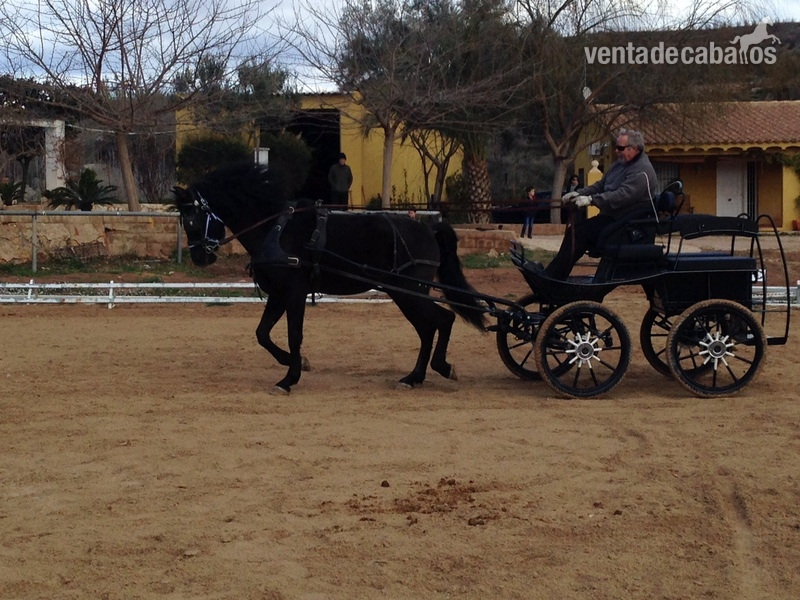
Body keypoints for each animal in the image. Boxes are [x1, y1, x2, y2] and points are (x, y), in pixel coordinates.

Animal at [173, 162, 487, 394]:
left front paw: (289, 378)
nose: (200, 257)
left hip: (408, 291)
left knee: (440, 321)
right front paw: (296, 363)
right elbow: (262, 333)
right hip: (405, 293)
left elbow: (294, 335)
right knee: (431, 325)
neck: (275, 229)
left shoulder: (295, 292)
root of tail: (429, 228)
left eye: (192, 219)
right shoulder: (278, 293)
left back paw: (435, 369)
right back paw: (416, 376)